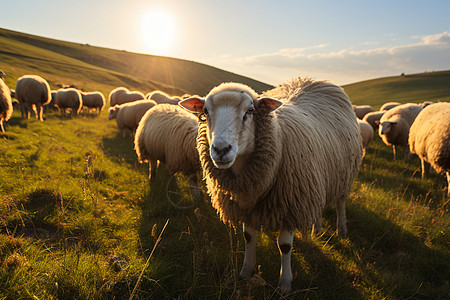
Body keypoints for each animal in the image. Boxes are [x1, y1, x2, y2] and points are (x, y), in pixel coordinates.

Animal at [179, 78, 362, 294]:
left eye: (250, 111)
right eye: (205, 111)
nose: (221, 150)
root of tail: (315, 80)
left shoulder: (291, 204)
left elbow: (284, 246)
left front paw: (285, 284)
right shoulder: (248, 205)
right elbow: (248, 237)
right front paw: (246, 272)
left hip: (344, 175)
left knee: (341, 202)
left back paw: (341, 228)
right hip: (317, 181)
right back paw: (317, 229)